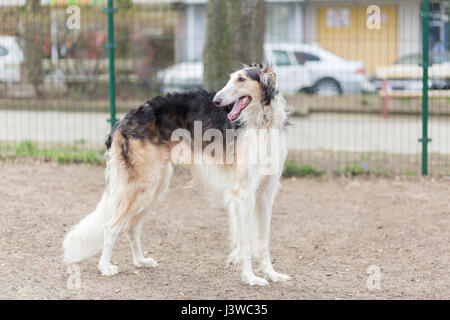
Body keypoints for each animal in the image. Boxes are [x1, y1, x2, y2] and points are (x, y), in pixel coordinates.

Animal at [62, 62, 288, 284]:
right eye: (230, 79)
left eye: (241, 79)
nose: (216, 100)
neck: (262, 124)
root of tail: (121, 122)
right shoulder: (244, 193)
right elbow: (247, 242)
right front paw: (250, 277)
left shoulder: (266, 193)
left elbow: (263, 241)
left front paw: (272, 274)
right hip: (144, 187)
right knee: (111, 226)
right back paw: (105, 267)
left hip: (156, 188)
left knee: (131, 227)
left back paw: (141, 261)